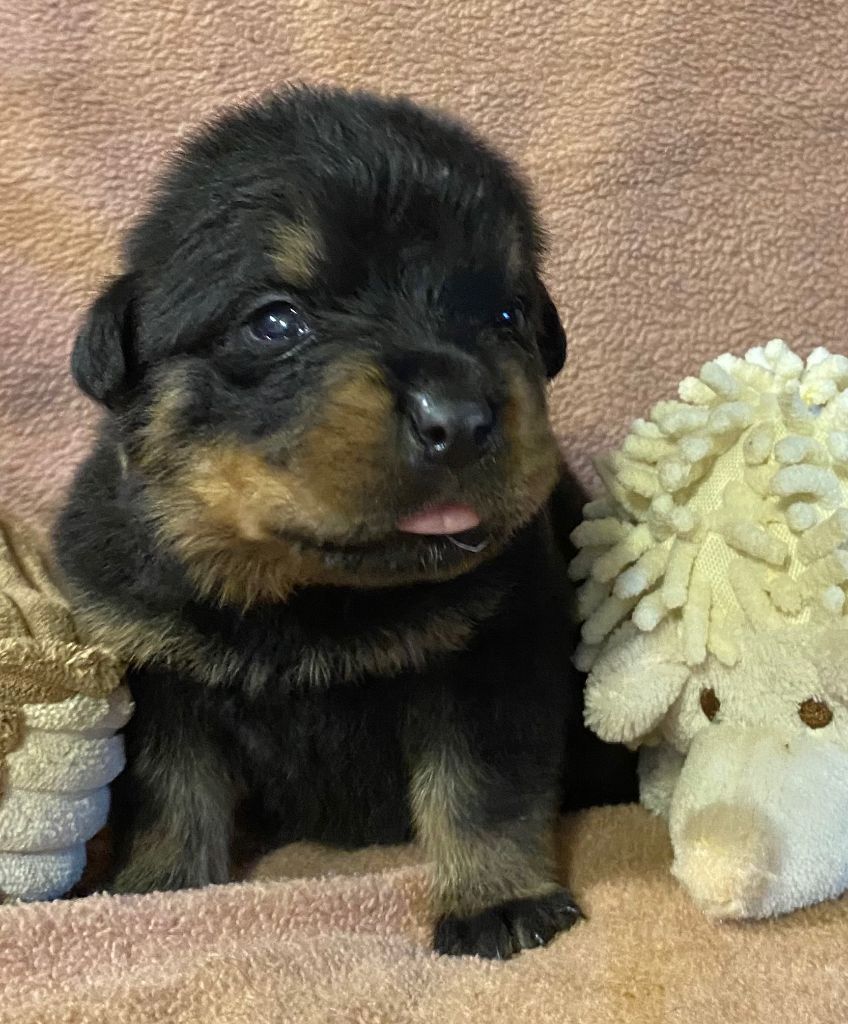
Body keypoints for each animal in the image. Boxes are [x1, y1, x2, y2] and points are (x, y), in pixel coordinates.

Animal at [54, 85, 610, 959]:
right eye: (276, 322)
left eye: (506, 313)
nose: (458, 418)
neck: (311, 598)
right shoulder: (158, 673)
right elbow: (170, 794)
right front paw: (156, 888)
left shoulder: (496, 652)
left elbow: (482, 790)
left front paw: (496, 898)